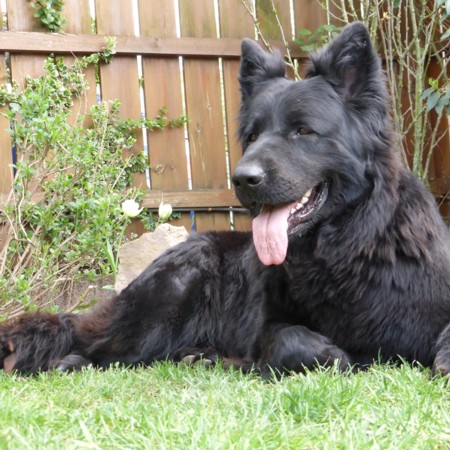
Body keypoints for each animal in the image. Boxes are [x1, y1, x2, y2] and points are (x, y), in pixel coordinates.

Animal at [1, 22, 450, 376]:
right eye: (252, 135)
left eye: (304, 131)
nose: (244, 179)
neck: (348, 248)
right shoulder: (264, 327)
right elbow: (287, 338)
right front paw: (333, 353)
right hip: (172, 291)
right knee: (91, 340)